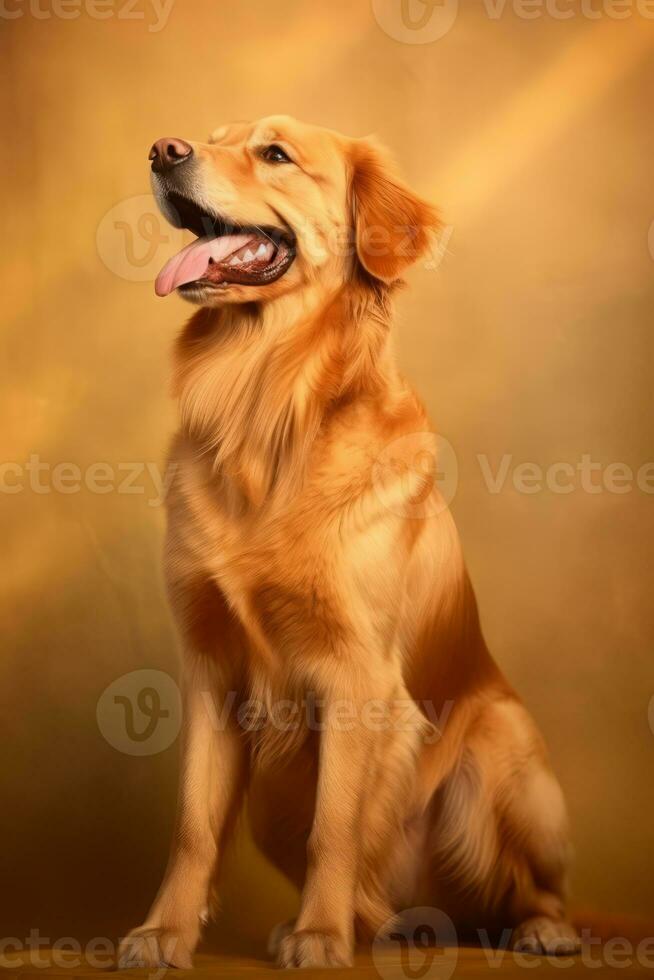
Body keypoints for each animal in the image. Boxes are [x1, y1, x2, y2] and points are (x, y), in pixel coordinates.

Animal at [118, 118, 580, 968]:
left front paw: (321, 937)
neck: (264, 407)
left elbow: (335, 825)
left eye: (275, 154)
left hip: (501, 747)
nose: (164, 152)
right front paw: (165, 932)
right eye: (208, 136)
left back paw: (538, 929)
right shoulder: (210, 670)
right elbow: (194, 826)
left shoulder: (356, 675)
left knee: (523, 888)